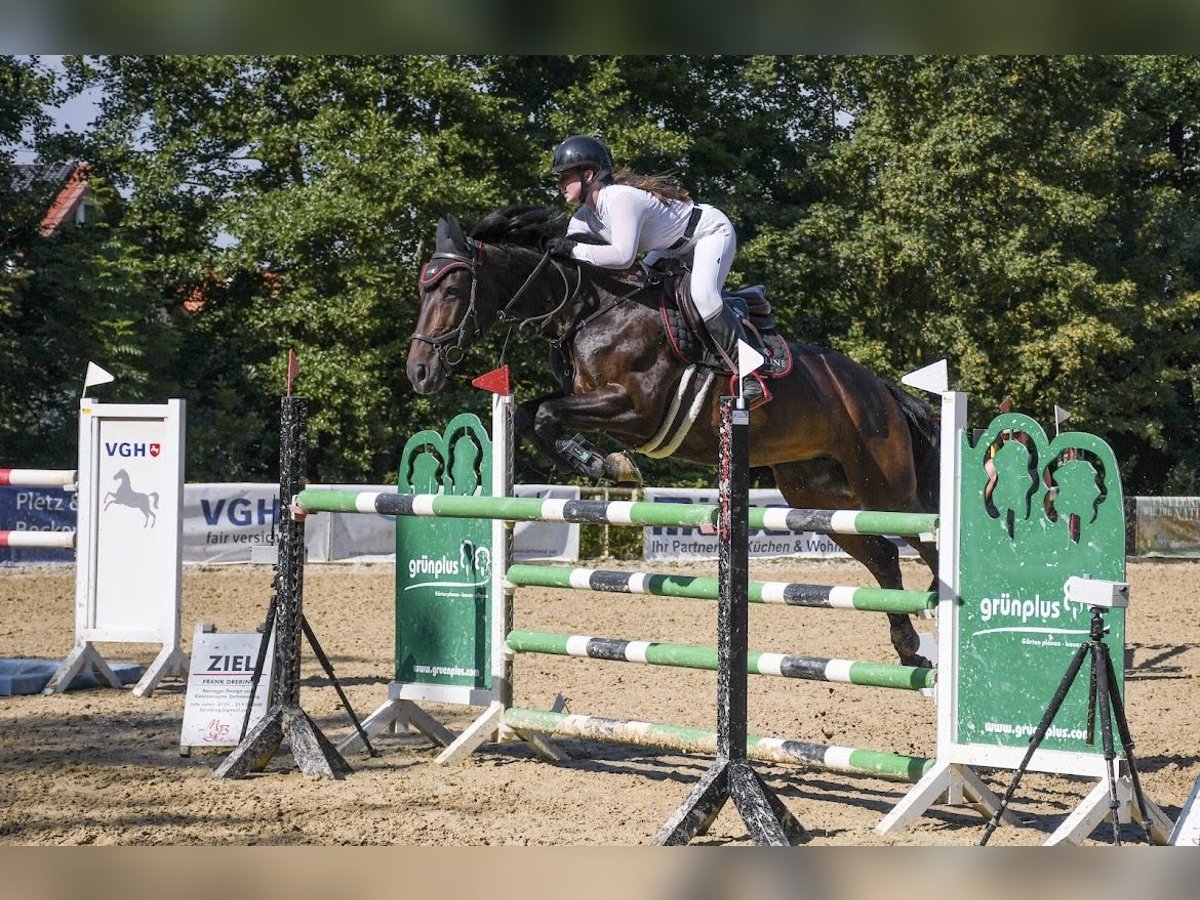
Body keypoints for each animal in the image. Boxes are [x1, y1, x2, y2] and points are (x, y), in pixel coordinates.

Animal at [408, 206, 940, 672]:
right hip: (816, 495)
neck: (590, 311)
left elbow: (546, 414)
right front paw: (599, 464)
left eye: (452, 290)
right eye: (422, 289)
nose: (420, 372)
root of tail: (878, 387)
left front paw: (610, 465)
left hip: (884, 488)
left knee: (926, 539)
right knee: (885, 557)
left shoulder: (635, 408)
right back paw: (909, 647)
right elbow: (531, 416)